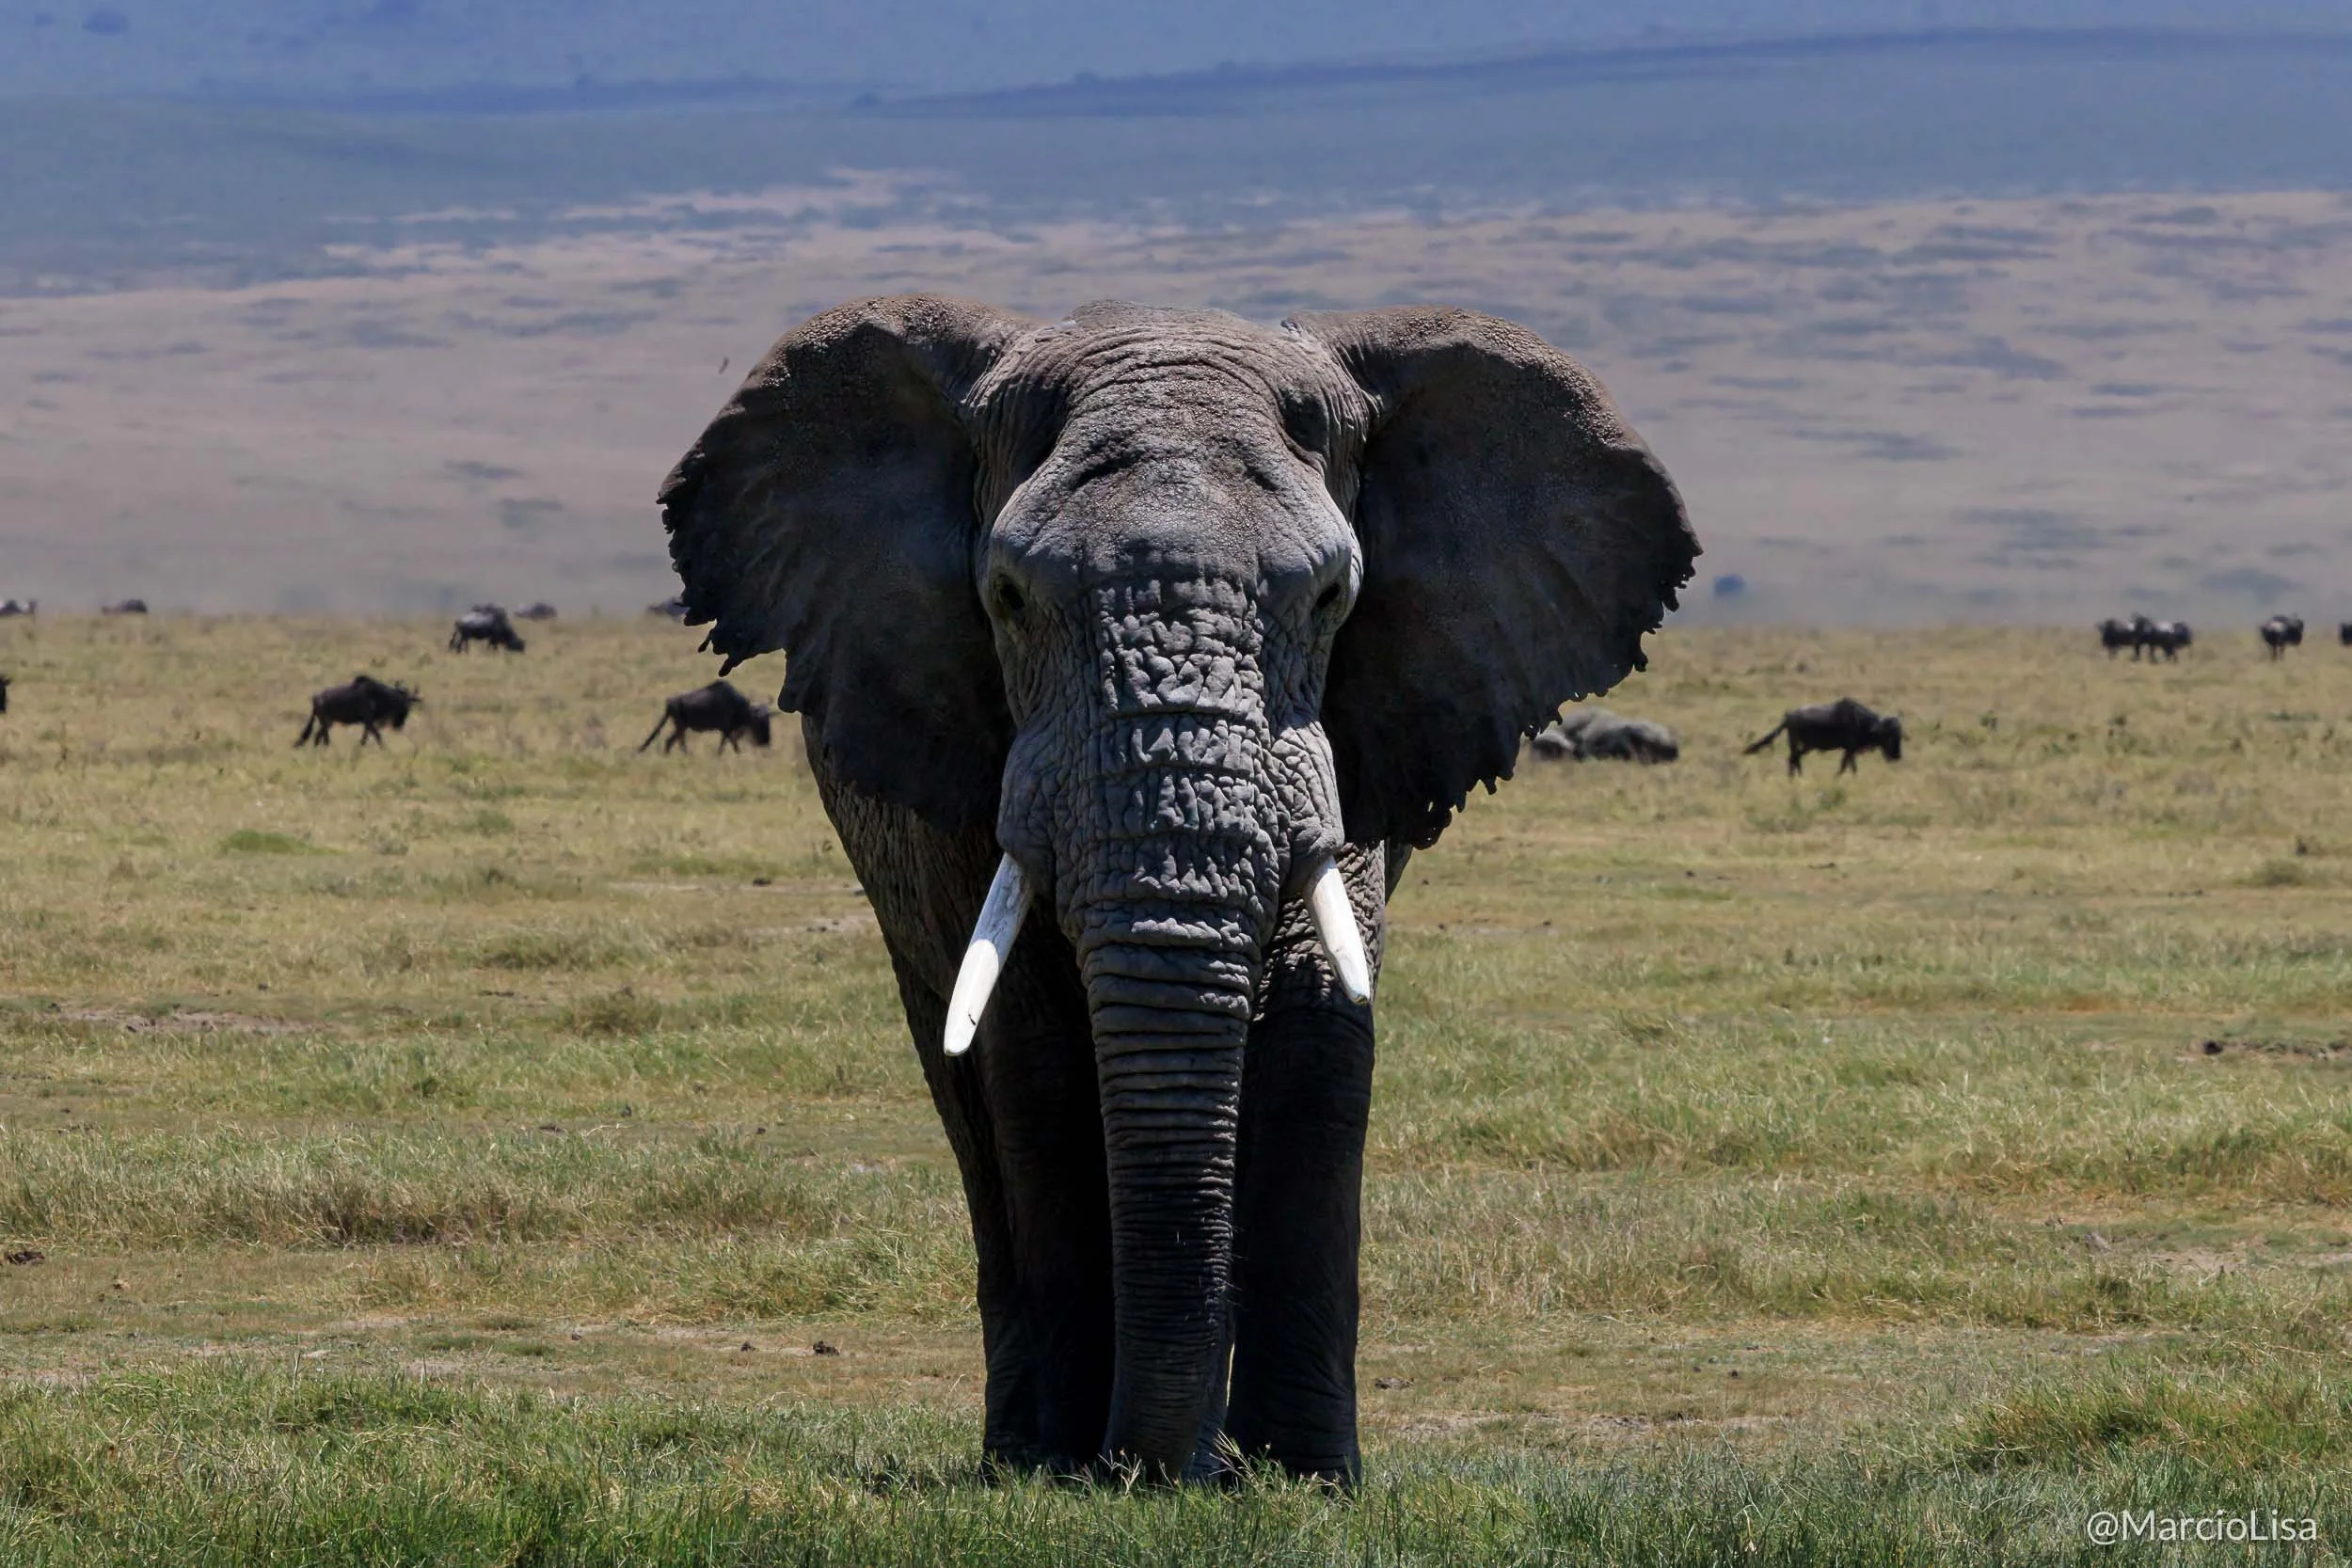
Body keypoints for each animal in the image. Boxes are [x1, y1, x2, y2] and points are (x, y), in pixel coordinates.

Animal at [660, 295, 1697, 1484]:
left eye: (1333, 597)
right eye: (1006, 597)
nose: (1156, 1467)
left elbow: (1318, 1016)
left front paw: (1306, 1476)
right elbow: (1037, 1054)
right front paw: (1069, 1469)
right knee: (967, 1094)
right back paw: (1024, 1443)